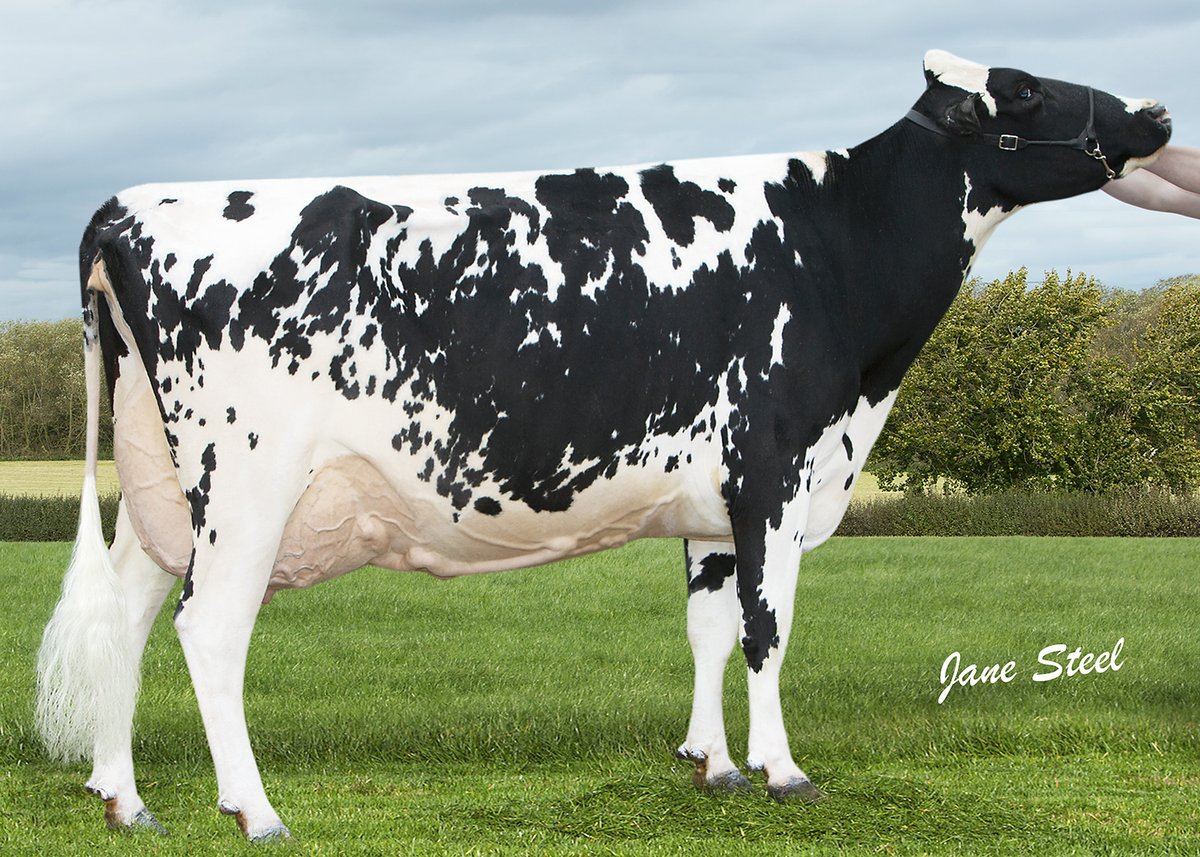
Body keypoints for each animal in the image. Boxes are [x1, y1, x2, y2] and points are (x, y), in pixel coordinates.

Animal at [36, 50, 1171, 841]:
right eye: (1022, 90)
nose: (1156, 113)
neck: (837, 251)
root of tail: (131, 204)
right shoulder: (775, 470)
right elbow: (767, 631)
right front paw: (784, 772)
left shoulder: (711, 502)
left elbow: (708, 627)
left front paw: (712, 763)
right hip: (248, 483)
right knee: (208, 629)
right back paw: (255, 808)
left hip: (162, 491)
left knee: (127, 618)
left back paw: (125, 798)